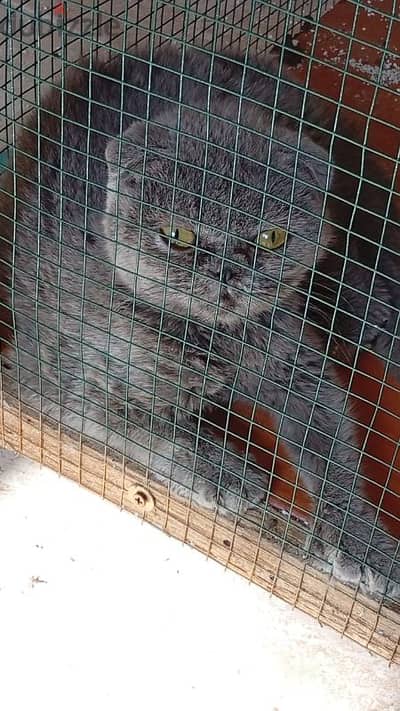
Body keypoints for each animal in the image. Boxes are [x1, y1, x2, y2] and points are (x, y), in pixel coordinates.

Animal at [0, 44, 398, 600]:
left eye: (273, 237)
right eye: (178, 235)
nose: (227, 269)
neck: (208, 341)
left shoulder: (292, 362)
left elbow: (334, 449)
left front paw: (363, 542)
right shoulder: (56, 377)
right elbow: (145, 426)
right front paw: (229, 469)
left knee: (358, 239)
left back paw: (378, 309)